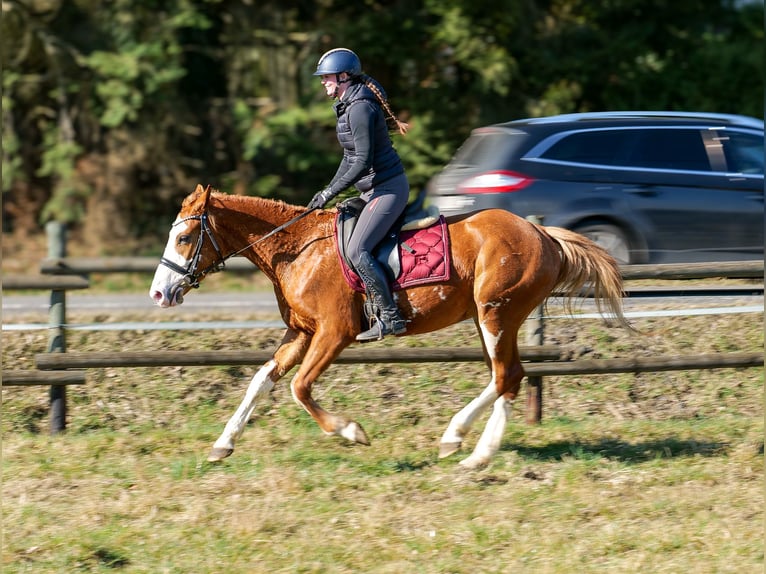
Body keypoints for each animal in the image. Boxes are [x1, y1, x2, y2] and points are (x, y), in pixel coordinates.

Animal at [150, 187, 632, 470]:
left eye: (184, 238)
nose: (158, 294)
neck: (298, 249)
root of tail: (542, 234)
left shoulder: (334, 333)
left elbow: (300, 388)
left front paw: (351, 431)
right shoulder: (301, 334)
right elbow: (260, 382)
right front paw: (223, 444)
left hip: (497, 314)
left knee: (505, 375)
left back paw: (467, 448)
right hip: (490, 319)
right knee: (508, 377)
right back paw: (469, 446)